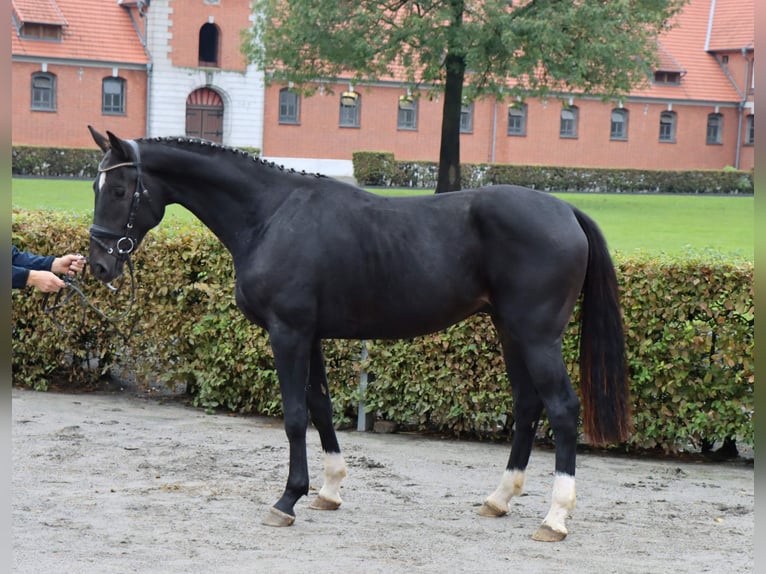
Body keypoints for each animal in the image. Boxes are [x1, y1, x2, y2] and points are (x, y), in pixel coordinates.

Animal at [87, 127, 632, 544]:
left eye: (119, 191)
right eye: (96, 187)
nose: (98, 265)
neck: (271, 214)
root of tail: (566, 210)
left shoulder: (288, 332)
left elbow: (293, 416)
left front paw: (287, 499)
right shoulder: (310, 335)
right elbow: (321, 406)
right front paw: (328, 491)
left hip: (536, 336)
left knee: (561, 409)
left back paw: (555, 517)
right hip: (510, 330)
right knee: (526, 405)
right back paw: (498, 500)